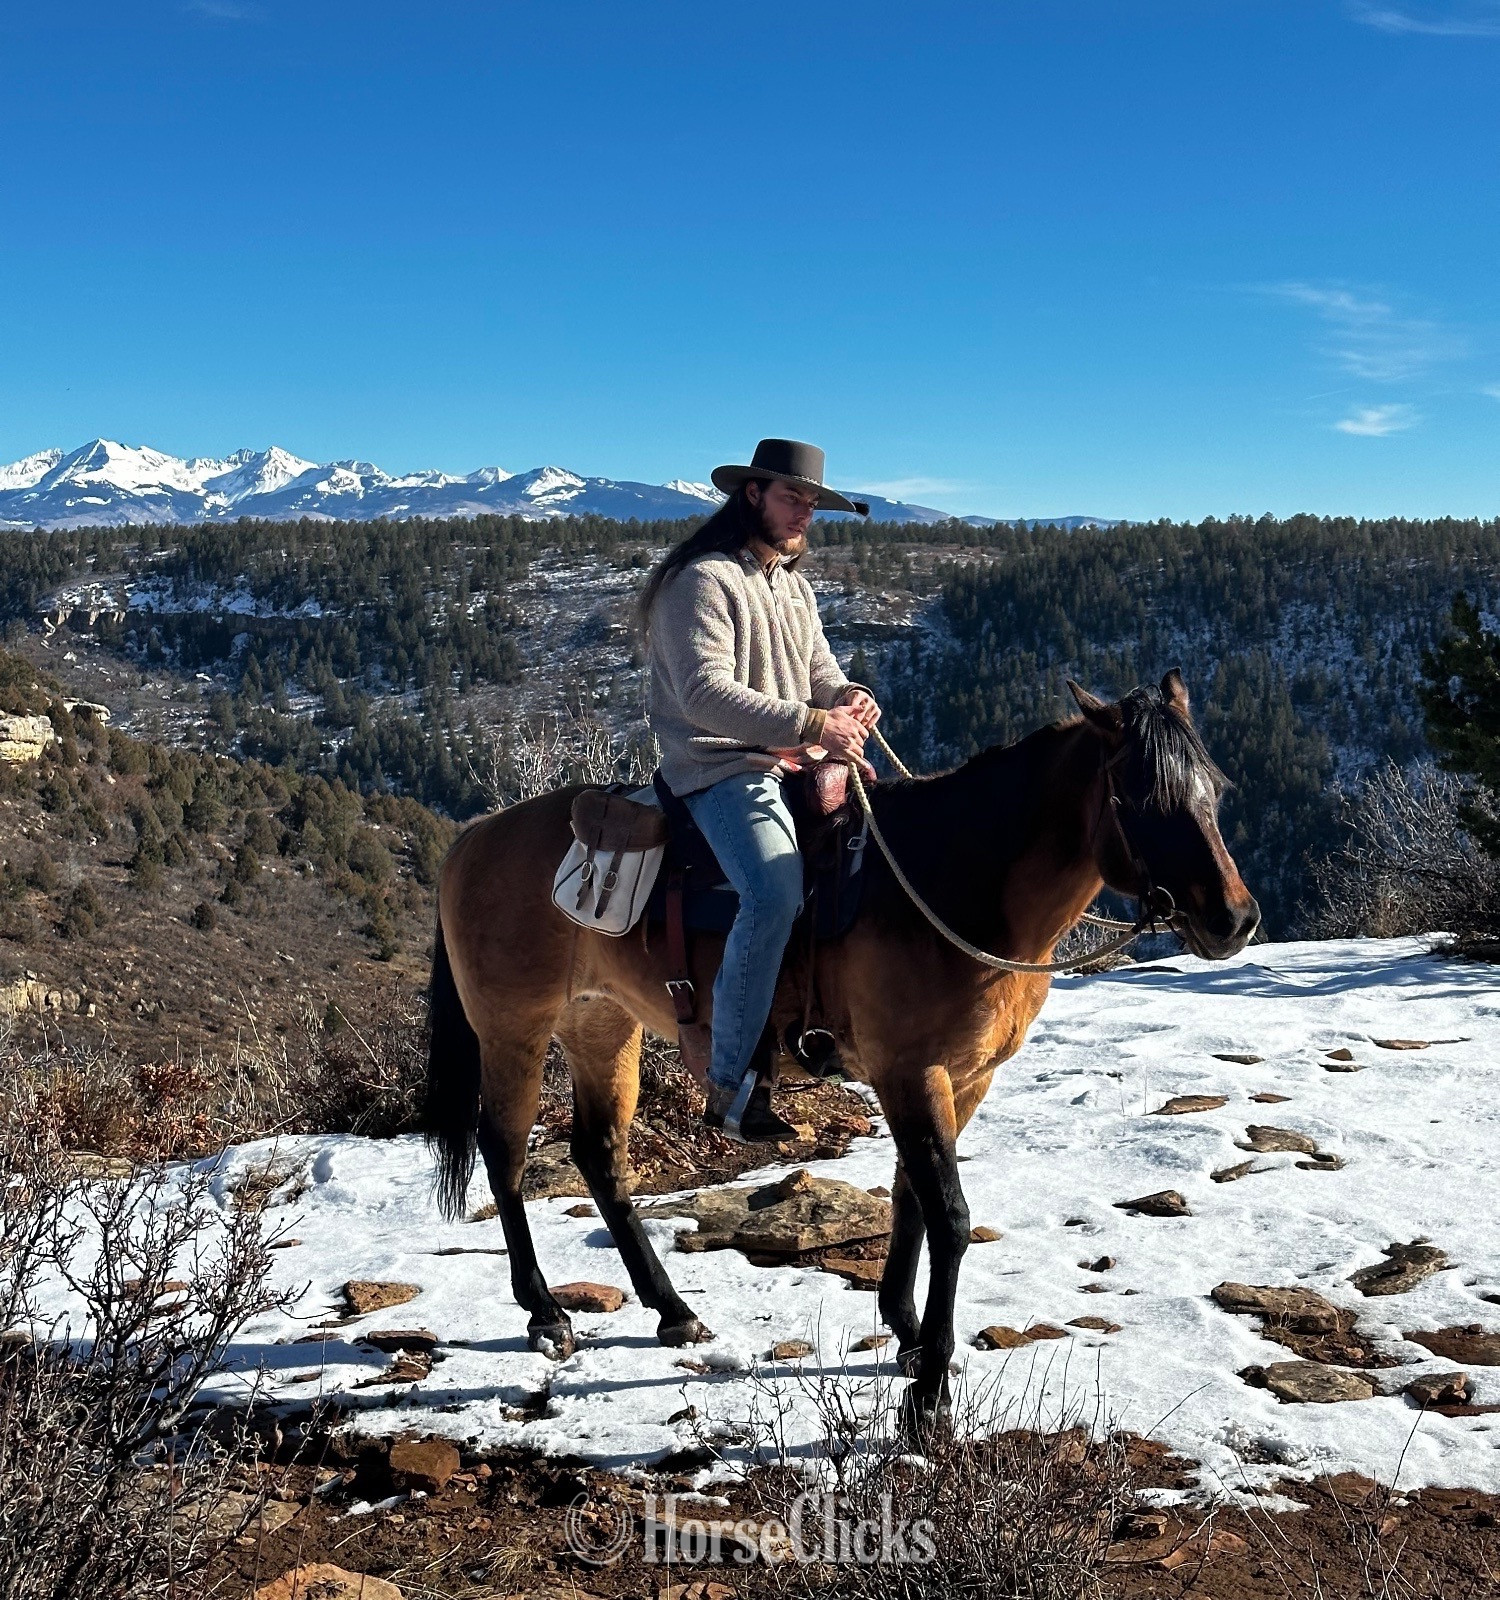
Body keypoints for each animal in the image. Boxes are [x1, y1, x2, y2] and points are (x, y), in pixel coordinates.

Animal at [421, 670, 1260, 1423]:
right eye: (1143, 801)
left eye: (1216, 793)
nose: (1234, 919)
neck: (952, 882)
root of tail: (474, 838)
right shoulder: (909, 1070)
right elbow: (949, 1214)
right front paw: (930, 1394)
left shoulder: (960, 1078)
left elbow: (912, 1196)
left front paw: (910, 1335)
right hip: (514, 1030)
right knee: (505, 1152)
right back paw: (544, 1314)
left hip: (602, 1025)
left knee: (599, 1155)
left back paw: (673, 1312)